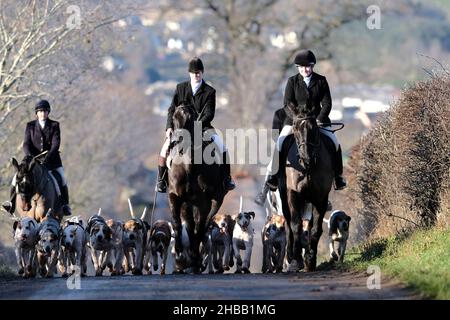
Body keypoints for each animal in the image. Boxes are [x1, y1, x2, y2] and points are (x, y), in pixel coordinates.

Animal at [167, 103, 229, 272]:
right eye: (174, 117)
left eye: (191, 118)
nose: (177, 142)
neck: (188, 165)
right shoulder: (174, 196)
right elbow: (177, 223)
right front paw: (180, 255)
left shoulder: (204, 202)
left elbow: (200, 227)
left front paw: (194, 256)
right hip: (187, 203)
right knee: (190, 225)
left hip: (215, 201)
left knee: (202, 225)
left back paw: (196, 257)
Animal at [280, 103, 336, 272]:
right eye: (295, 127)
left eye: (313, 128)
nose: (306, 159)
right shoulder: (294, 194)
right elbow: (296, 225)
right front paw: (296, 260)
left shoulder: (321, 197)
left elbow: (316, 228)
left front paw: (310, 258)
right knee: (288, 224)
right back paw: (290, 256)